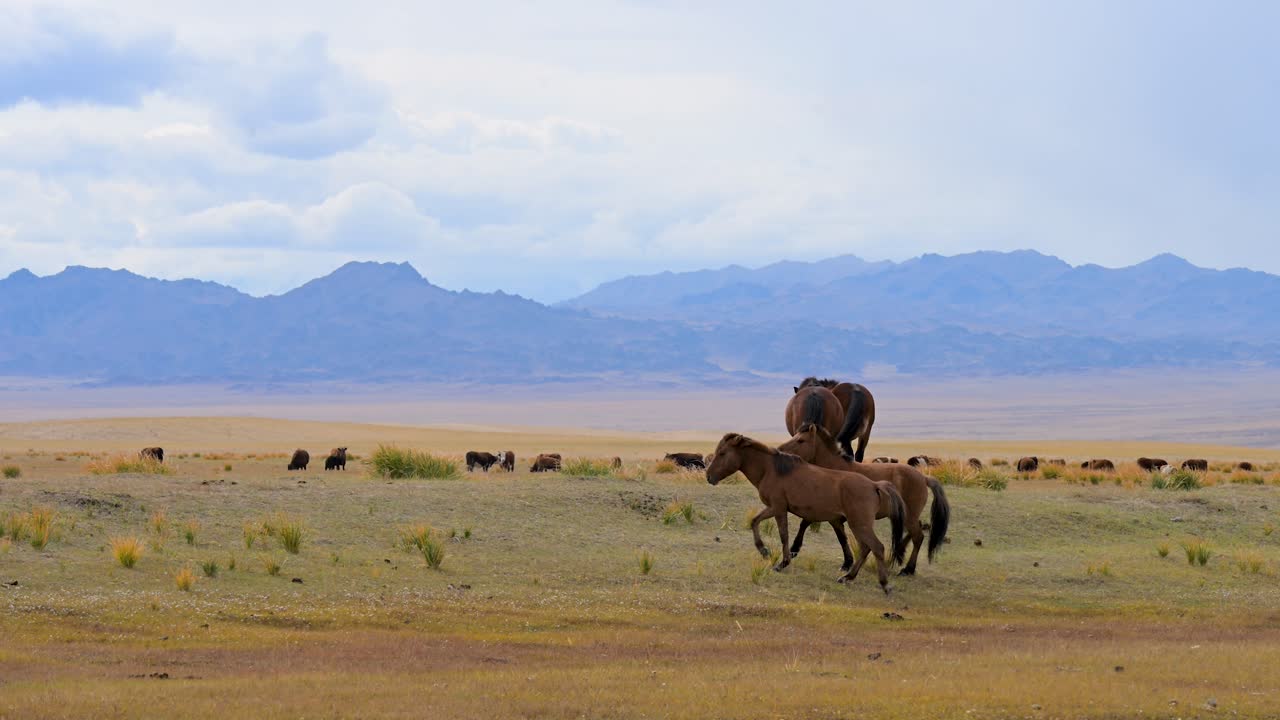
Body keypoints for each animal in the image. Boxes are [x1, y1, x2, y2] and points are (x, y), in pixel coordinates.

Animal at [705, 433, 905, 593]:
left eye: (722, 453)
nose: (708, 476)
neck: (771, 469)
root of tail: (874, 485)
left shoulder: (778, 508)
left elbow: (783, 535)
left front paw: (782, 563)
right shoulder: (774, 508)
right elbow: (755, 521)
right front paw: (763, 550)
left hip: (859, 524)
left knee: (876, 547)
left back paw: (884, 584)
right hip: (858, 525)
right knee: (865, 548)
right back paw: (848, 577)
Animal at [780, 423, 950, 576]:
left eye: (801, 440)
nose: (781, 451)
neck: (835, 471)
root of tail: (923, 478)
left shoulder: (831, 514)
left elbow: (820, 528)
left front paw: (794, 550)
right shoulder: (830, 514)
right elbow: (830, 533)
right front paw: (846, 563)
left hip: (909, 517)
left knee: (918, 537)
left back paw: (908, 569)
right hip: (907, 517)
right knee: (915, 532)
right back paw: (898, 554)